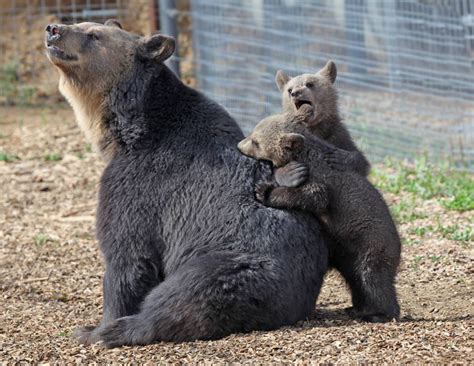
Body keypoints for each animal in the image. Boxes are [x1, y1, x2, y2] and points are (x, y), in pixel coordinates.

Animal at [43, 20, 326, 348]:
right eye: (81, 25)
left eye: (93, 35)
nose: (54, 29)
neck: (126, 133)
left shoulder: (139, 185)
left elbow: (127, 255)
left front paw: (95, 328)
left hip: (237, 262)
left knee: (185, 293)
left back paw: (121, 329)